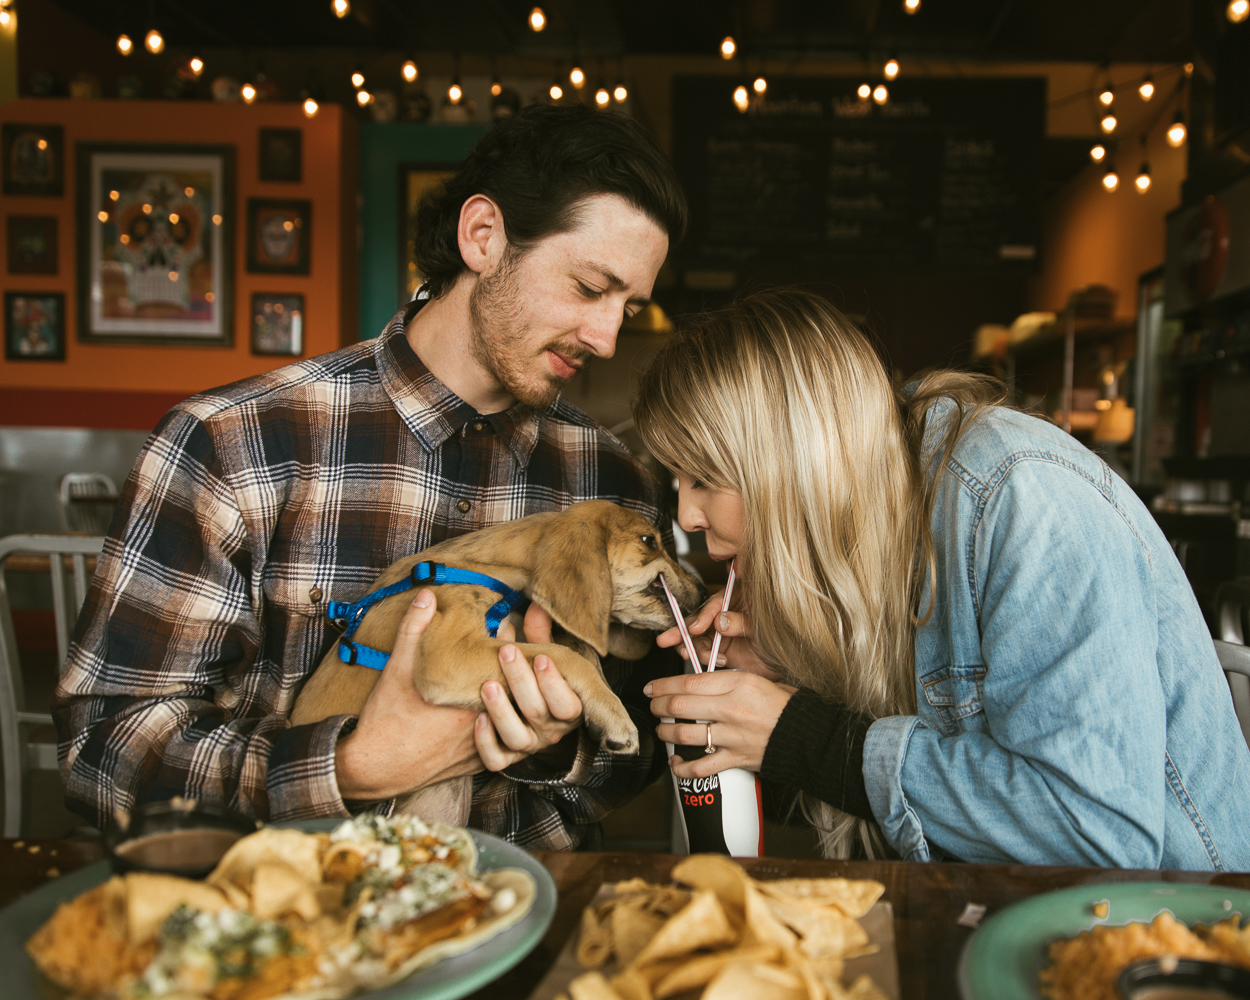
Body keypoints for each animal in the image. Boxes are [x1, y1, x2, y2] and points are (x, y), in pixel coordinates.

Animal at [287, 500, 710, 820]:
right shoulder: (448, 655)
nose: (707, 590)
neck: (493, 567)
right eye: (648, 540)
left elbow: (579, 649)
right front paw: (614, 715)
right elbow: (564, 655)